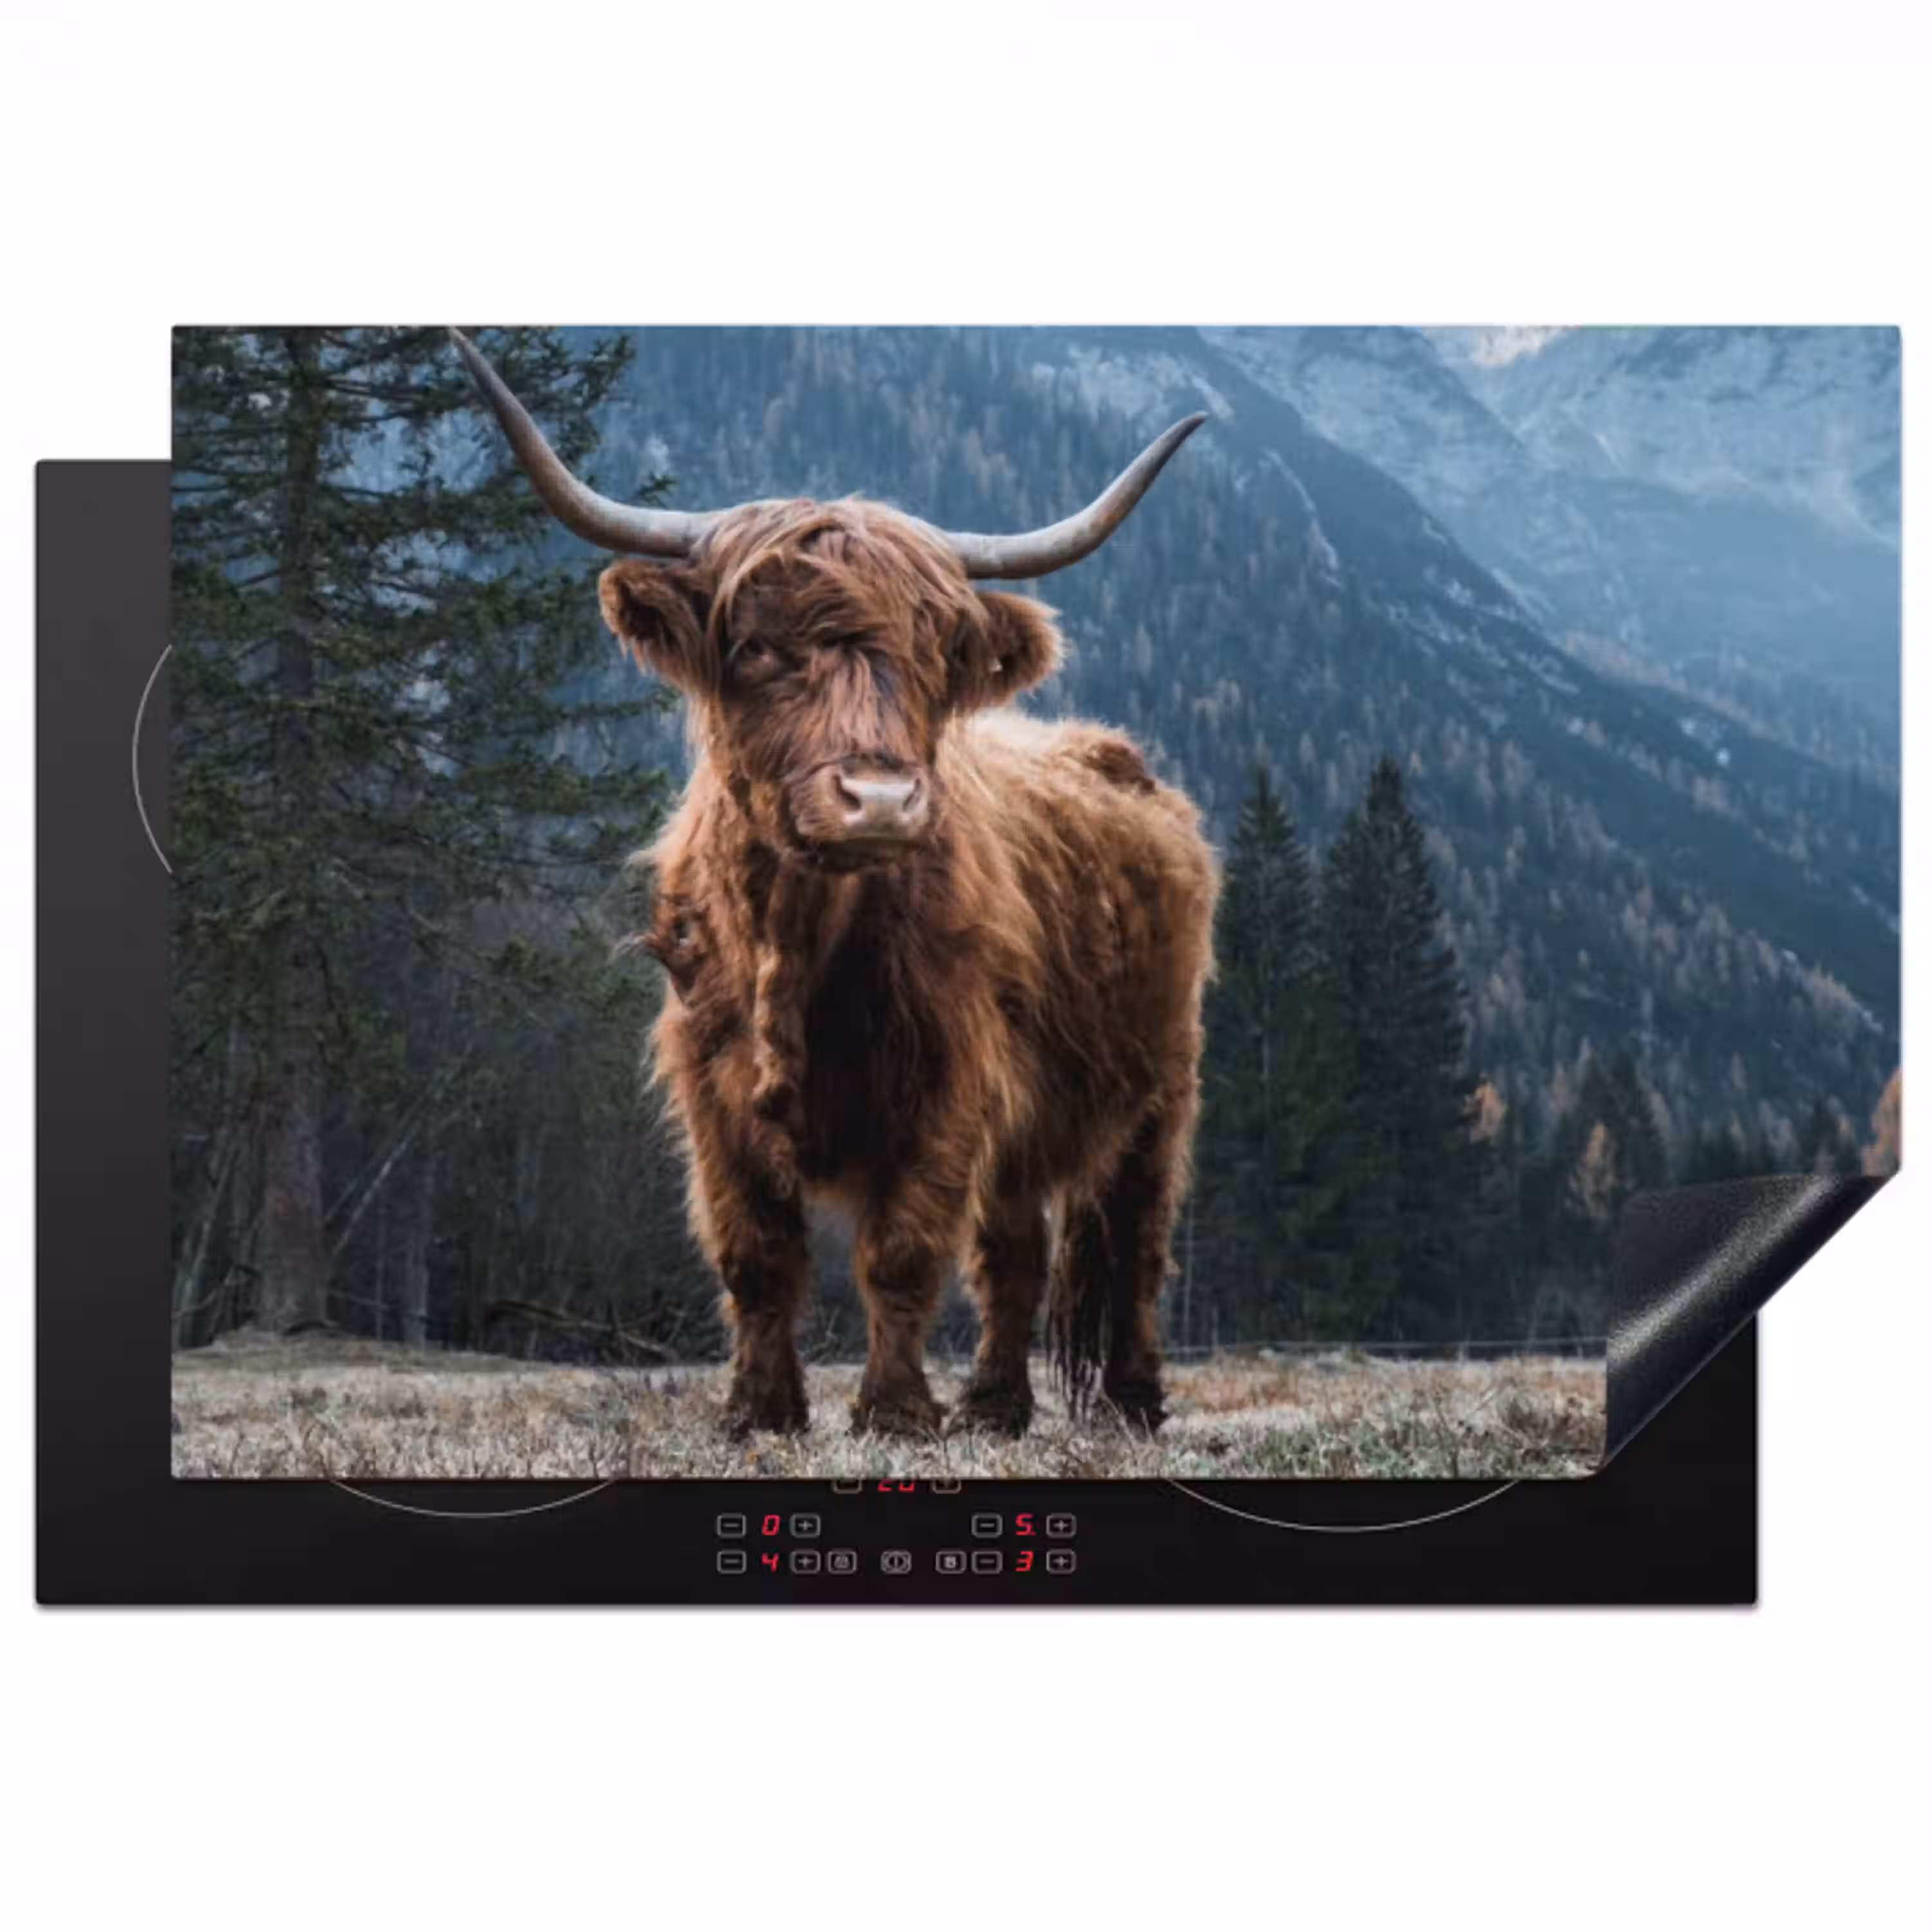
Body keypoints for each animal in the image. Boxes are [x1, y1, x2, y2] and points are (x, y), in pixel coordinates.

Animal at [452, 330, 1217, 1439]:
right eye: (759, 647)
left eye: (936, 656)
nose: (882, 800)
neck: (796, 941)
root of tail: (1118, 756)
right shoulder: (712, 1091)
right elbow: (756, 1256)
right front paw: (759, 1411)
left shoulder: (948, 1083)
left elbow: (901, 1254)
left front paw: (893, 1412)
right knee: (1016, 1254)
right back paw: (995, 1406)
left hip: (1162, 1085)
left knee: (1137, 1244)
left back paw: (1132, 1402)